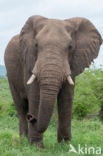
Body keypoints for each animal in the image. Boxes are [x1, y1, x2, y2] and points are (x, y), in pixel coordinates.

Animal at [4, 15, 102, 148]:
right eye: (36, 45)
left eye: (70, 46)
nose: (32, 117)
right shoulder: (29, 61)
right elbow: (35, 95)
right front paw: (37, 148)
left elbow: (66, 97)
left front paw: (65, 146)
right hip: (11, 77)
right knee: (21, 106)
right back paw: (23, 140)